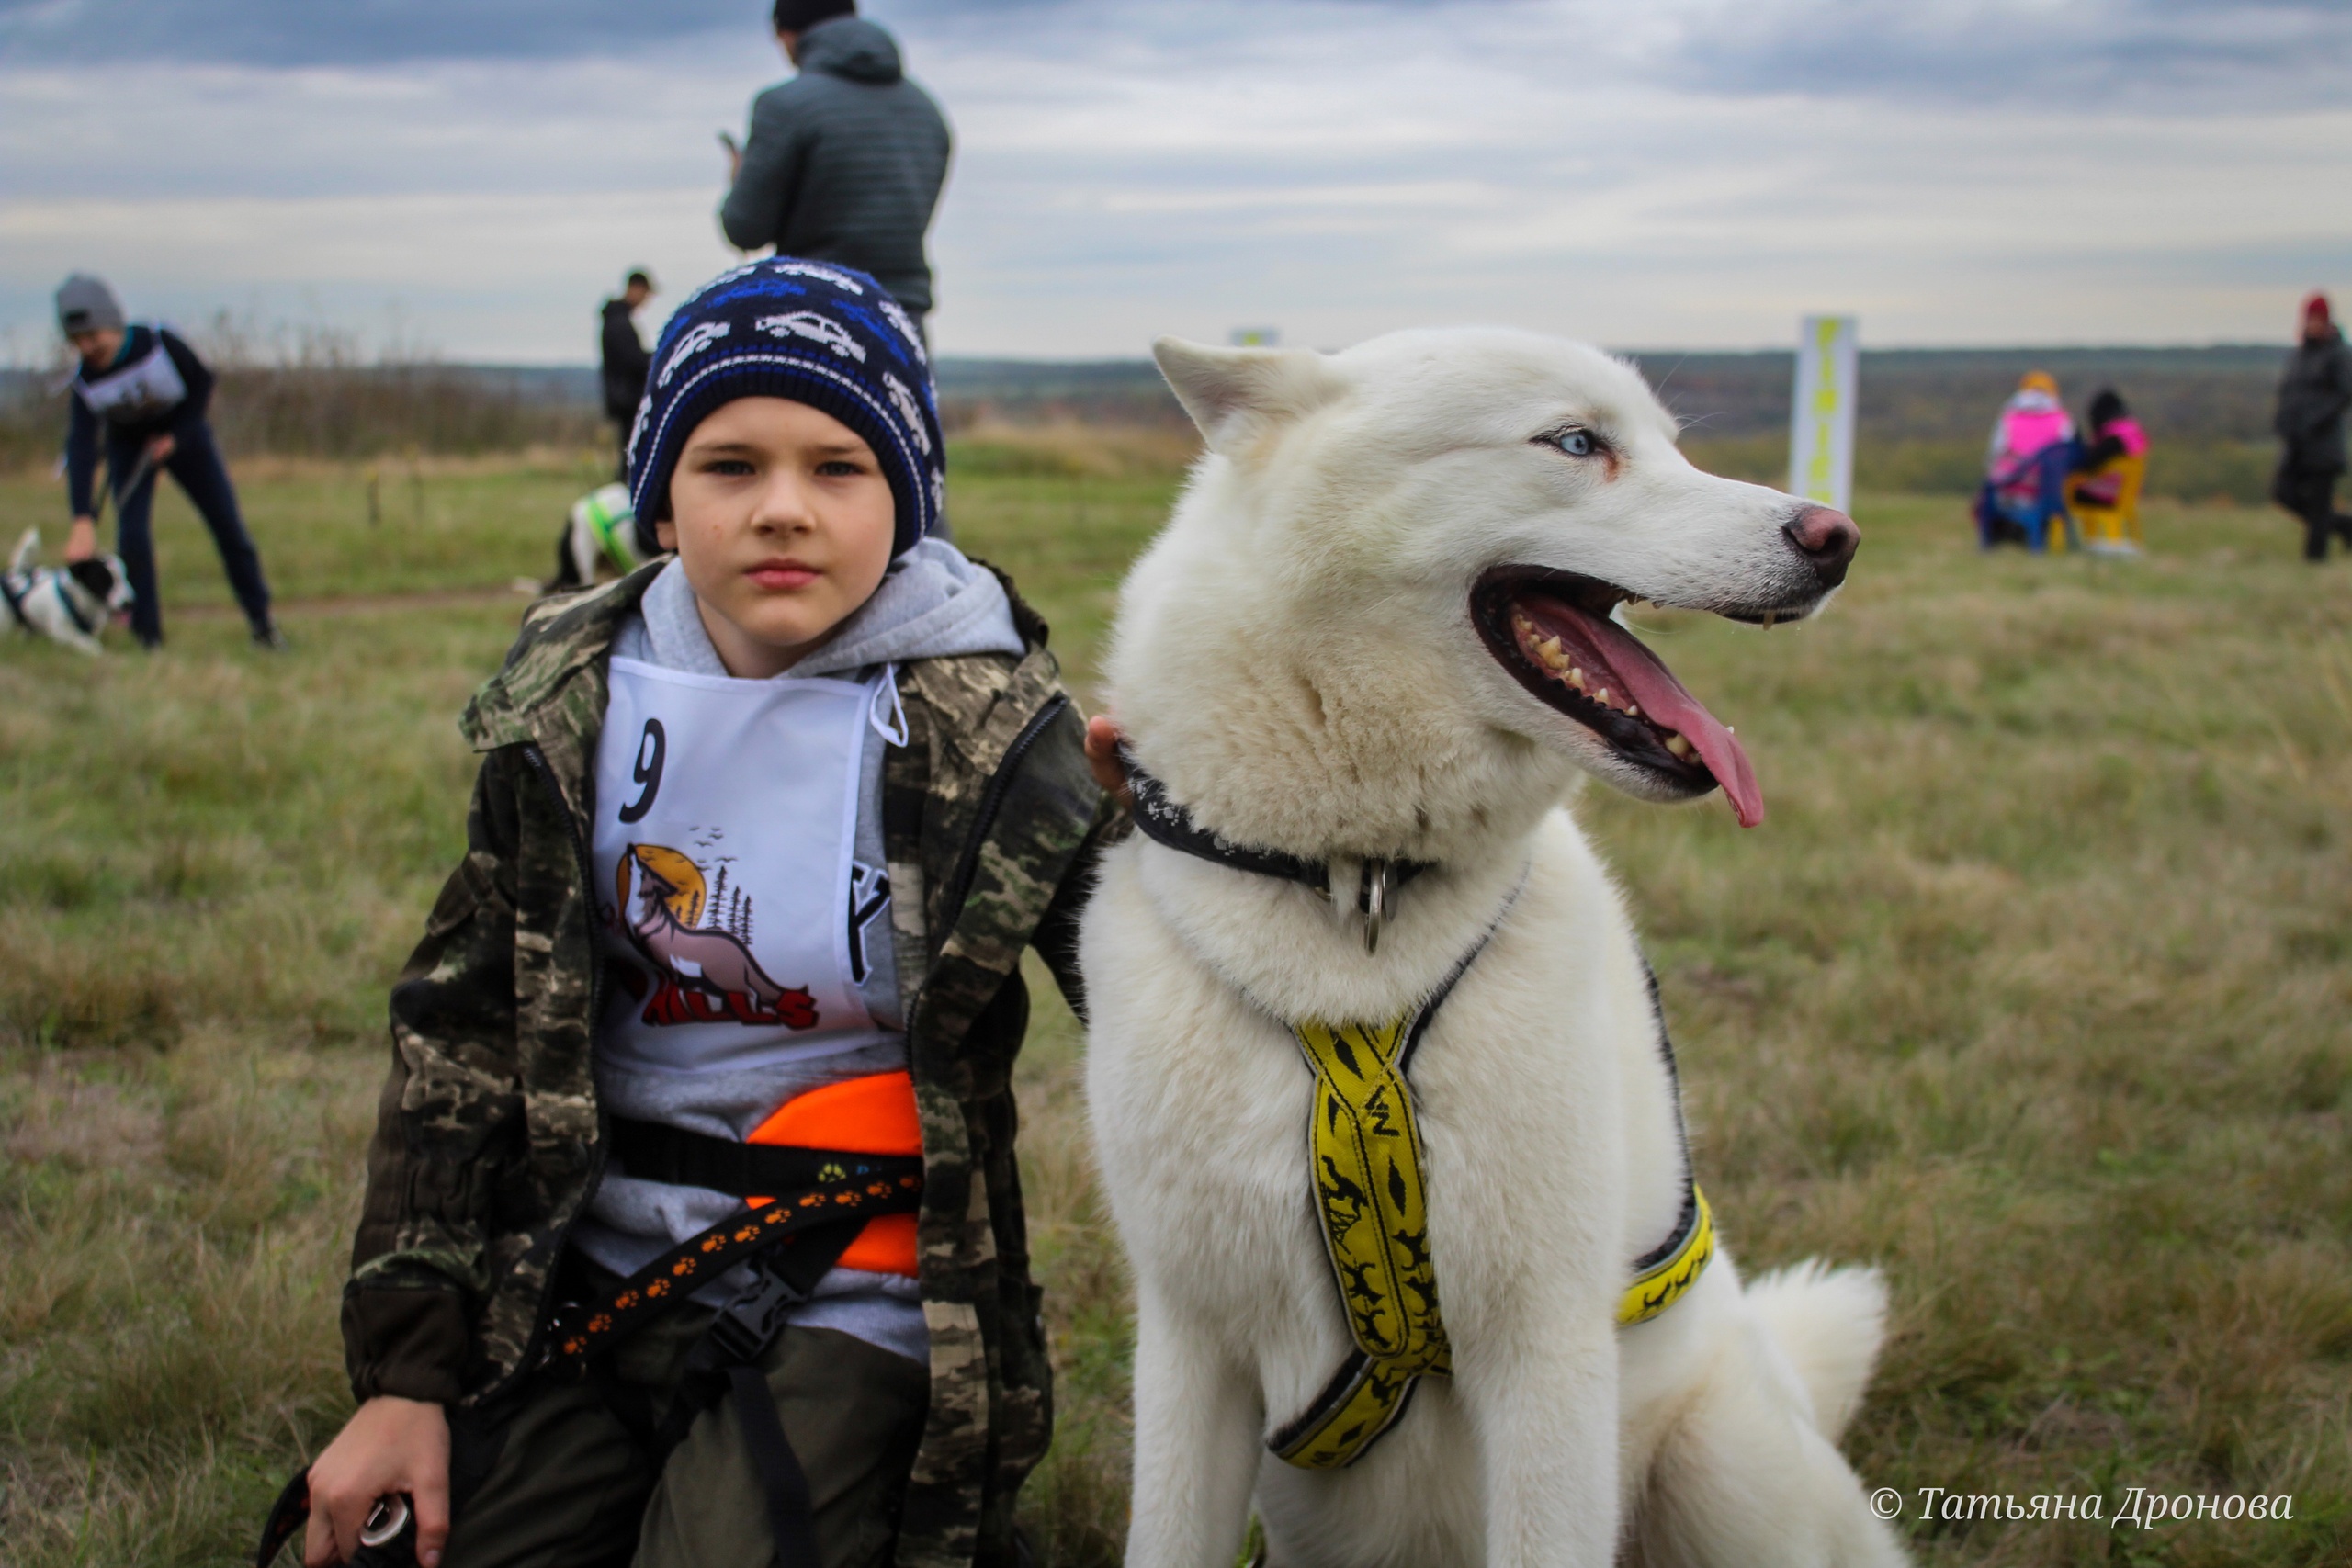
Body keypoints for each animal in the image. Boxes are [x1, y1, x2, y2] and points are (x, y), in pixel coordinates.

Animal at [1081, 331, 1909, 1568]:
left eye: (1672, 445)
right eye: (1575, 442)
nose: (1834, 537)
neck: (1358, 895)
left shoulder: (1545, 1353)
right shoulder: (1193, 1345)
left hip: (1719, 1470)